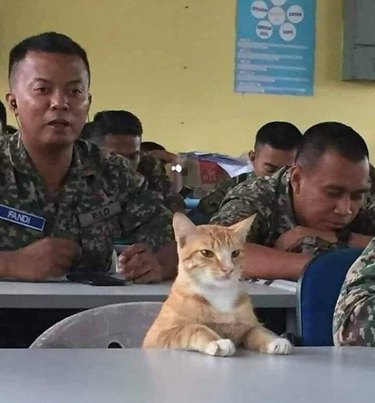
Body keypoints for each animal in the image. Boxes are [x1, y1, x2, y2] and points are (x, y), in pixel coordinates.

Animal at [142, 215, 292, 356]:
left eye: (235, 253)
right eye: (206, 253)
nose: (228, 269)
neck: (219, 294)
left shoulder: (248, 326)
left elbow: (259, 330)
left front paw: (275, 340)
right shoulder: (158, 335)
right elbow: (194, 328)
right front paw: (218, 341)